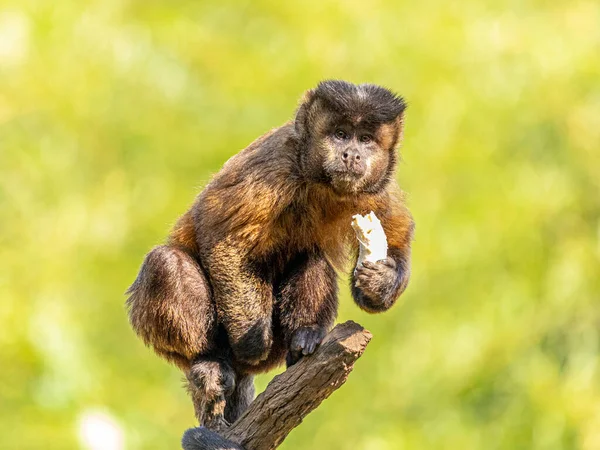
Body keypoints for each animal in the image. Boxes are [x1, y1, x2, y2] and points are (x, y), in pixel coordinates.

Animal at [126, 79, 414, 434]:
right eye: (341, 134)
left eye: (365, 139)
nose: (352, 154)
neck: (319, 183)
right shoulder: (274, 165)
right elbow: (226, 242)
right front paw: (253, 340)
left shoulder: (377, 189)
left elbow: (399, 236)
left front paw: (379, 282)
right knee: (165, 263)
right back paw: (208, 361)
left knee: (311, 257)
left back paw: (304, 338)